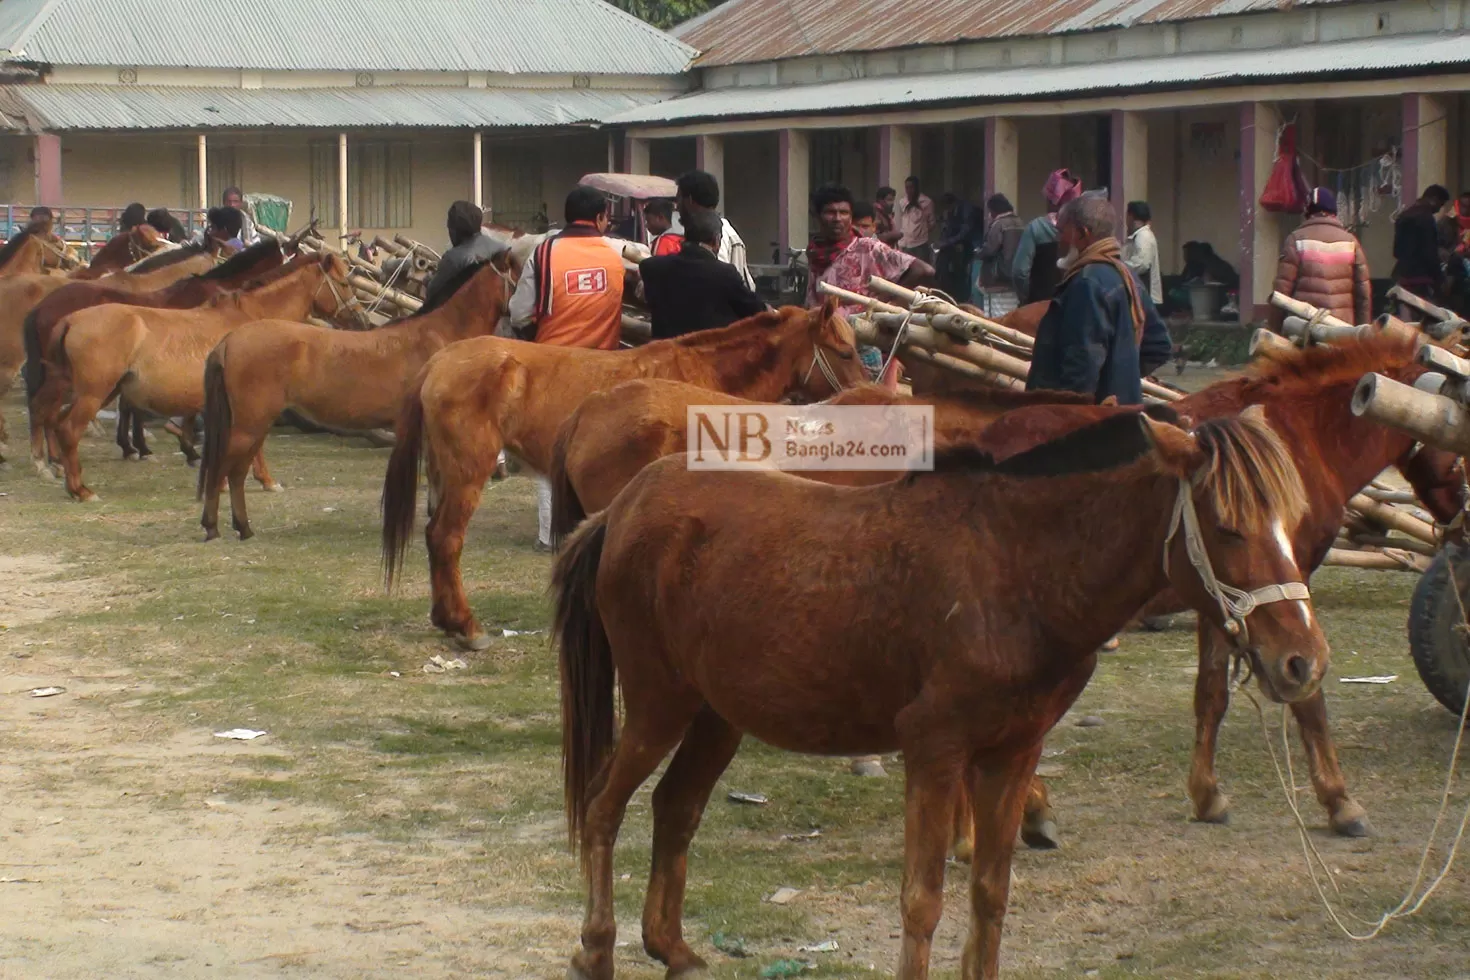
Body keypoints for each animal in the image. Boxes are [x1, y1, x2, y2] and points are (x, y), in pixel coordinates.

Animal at [34, 252, 355, 502]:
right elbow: (254, 443)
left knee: (50, 419)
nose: (357, 316)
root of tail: (71, 319)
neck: (250, 322)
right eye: (343, 282)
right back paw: (81, 489)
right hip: (93, 394)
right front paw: (264, 480)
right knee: (67, 430)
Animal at [379, 299, 870, 652]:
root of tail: (440, 361)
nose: (868, 394)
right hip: (468, 473)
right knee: (445, 538)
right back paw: (465, 625)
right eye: (845, 351)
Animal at [552, 405, 1334, 980]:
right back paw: (595, 947)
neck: (1015, 570)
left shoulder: (1013, 753)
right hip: (658, 704)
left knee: (674, 808)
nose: (1303, 662)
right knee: (602, 808)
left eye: (1290, 526)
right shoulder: (934, 752)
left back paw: (673, 949)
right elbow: (922, 902)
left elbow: (990, 893)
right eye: (1227, 528)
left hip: (717, 715)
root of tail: (624, 507)